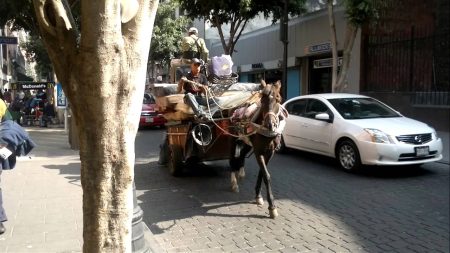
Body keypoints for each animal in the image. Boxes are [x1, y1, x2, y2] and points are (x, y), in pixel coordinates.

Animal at [229, 80, 288, 218]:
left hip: (246, 142)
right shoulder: (258, 152)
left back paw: (240, 172)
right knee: (232, 158)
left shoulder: (270, 152)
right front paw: (272, 207)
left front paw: (258, 196)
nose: (270, 124)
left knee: (241, 155)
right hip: (232, 139)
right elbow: (266, 175)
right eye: (263, 99)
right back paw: (234, 182)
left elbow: (262, 173)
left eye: (278, 98)